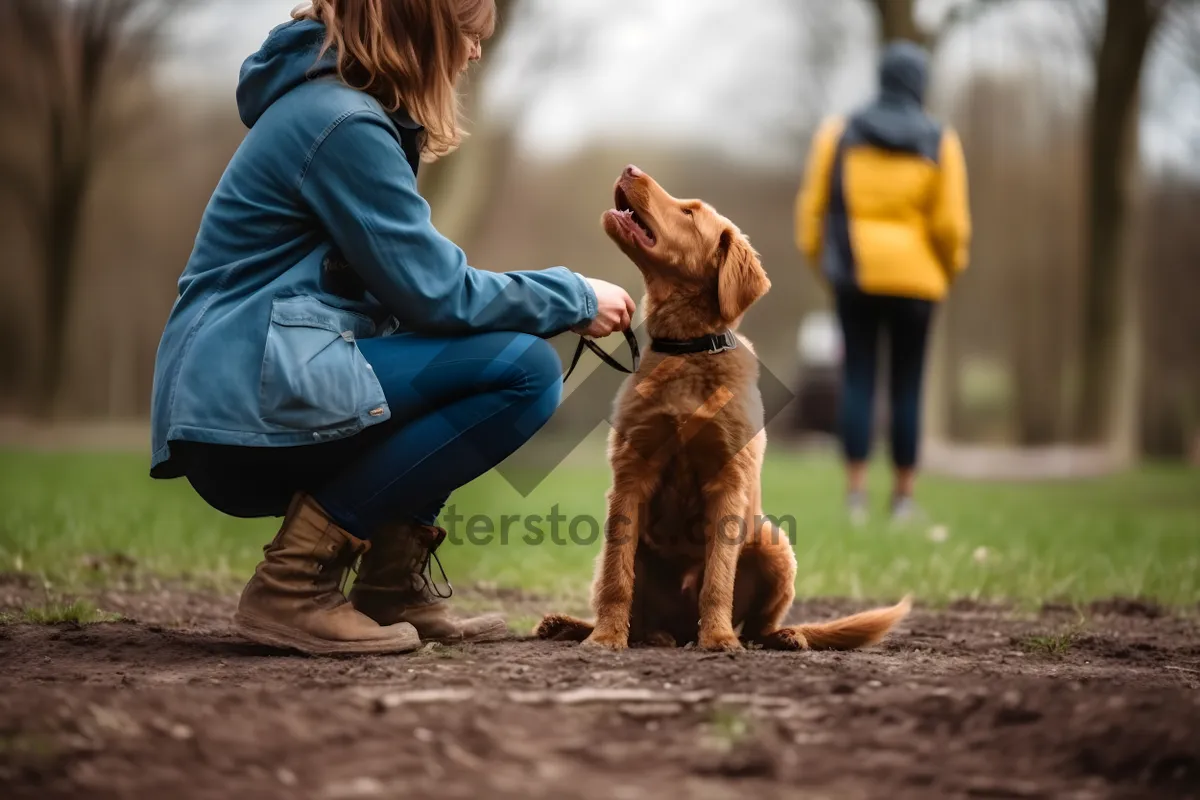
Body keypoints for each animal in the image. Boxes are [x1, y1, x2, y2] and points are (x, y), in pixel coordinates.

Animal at [535, 165, 907, 652]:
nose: (631, 169)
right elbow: (619, 575)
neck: (688, 350)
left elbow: (718, 577)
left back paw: (780, 636)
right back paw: (606, 630)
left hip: (772, 540)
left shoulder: (728, 479)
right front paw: (606, 637)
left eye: (690, 213)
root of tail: (675, 629)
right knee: (631, 601)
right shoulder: (630, 473)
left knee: (758, 626)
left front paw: (717, 638)